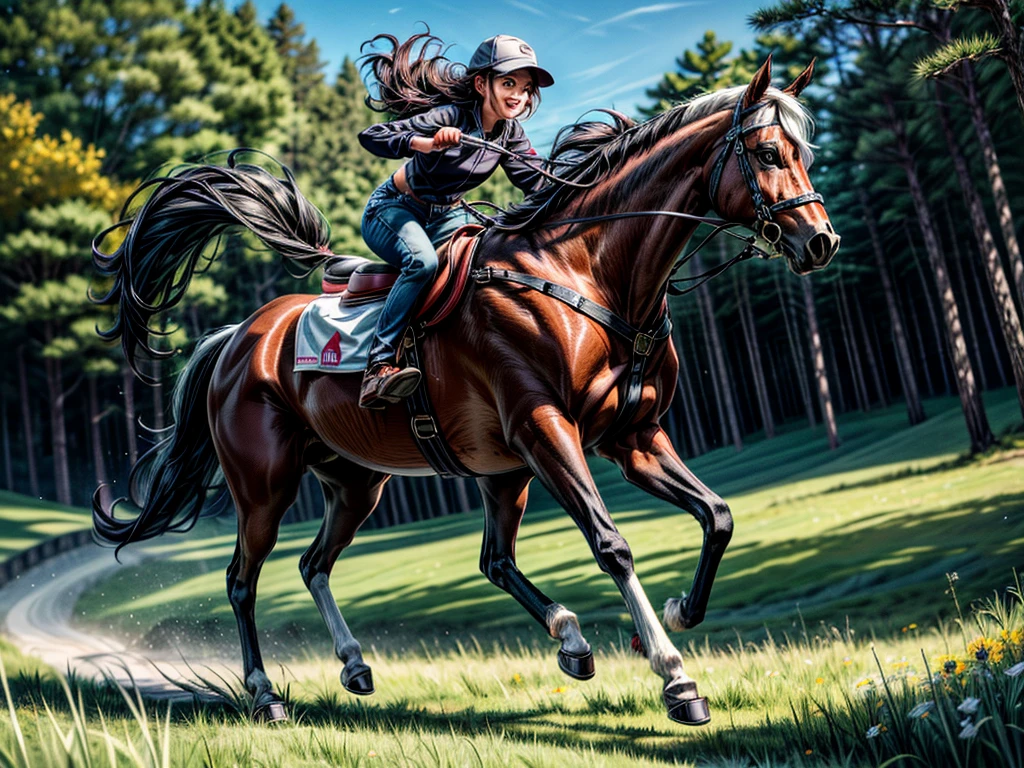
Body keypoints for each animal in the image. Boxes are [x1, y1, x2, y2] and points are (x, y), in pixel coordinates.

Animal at [90, 60, 839, 729]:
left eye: (805, 150)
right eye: (768, 151)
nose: (822, 241)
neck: (586, 273)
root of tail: (237, 337)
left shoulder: (634, 437)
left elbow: (718, 515)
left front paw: (679, 612)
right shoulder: (547, 429)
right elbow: (612, 545)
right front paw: (675, 678)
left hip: (374, 481)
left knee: (349, 562)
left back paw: (395, 660)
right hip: (265, 486)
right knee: (243, 580)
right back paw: (266, 694)